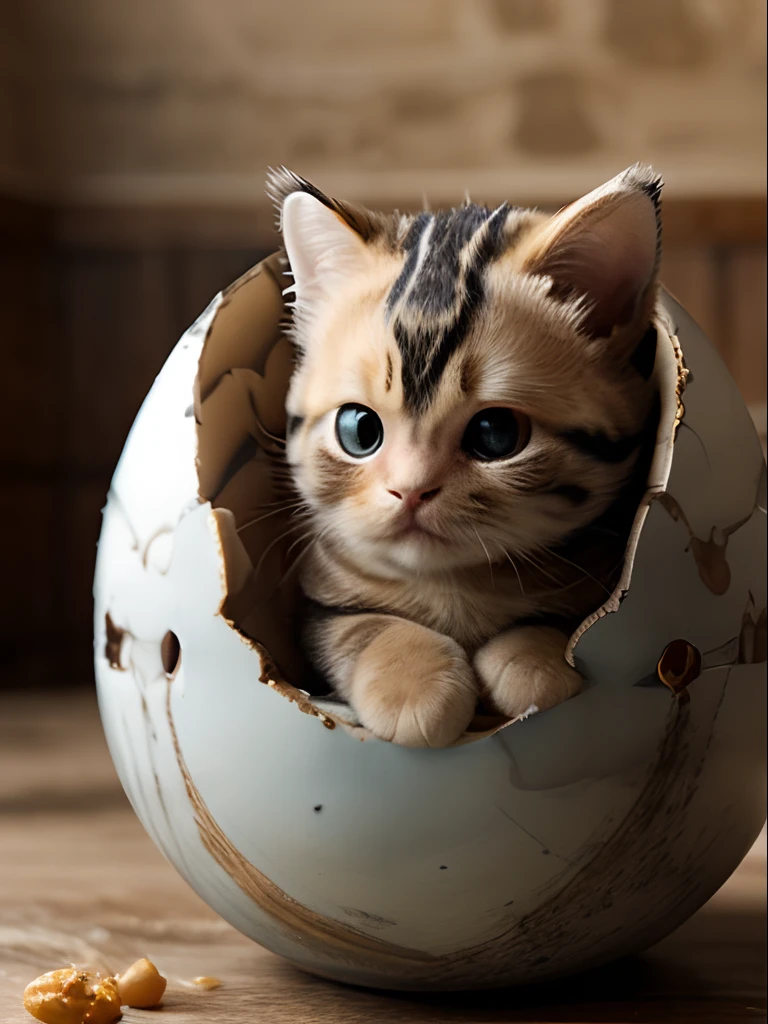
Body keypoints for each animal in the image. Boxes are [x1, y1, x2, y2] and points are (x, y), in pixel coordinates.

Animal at [268, 163, 663, 749]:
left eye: (496, 434)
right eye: (359, 430)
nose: (410, 488)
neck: (457, 587)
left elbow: (563, 627)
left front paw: (533, 663)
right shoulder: (318, 606)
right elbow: (362, 624)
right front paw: (413, 685)